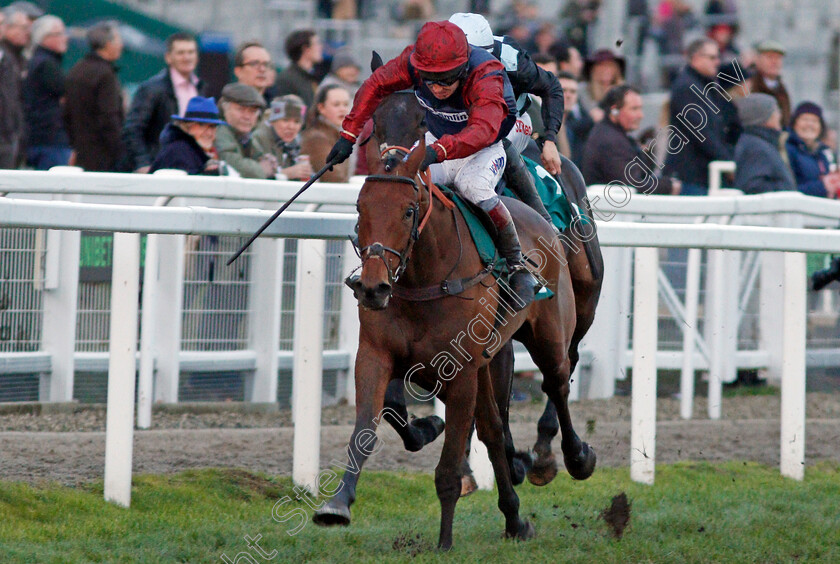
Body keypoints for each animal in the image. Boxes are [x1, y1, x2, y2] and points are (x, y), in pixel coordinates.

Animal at [316, 141, 596, 552]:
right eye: (360, 208)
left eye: (409, 210)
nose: (372, 287)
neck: (424, 278)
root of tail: (542, 218)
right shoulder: (375, 355)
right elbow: (367, 428)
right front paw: (337, 504)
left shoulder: (461, 372)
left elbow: (448, 466)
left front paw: (445, 541)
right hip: (488, 361)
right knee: (494, 428)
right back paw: (514, 518)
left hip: (552, 336)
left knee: (557, 385)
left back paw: (572, 458)